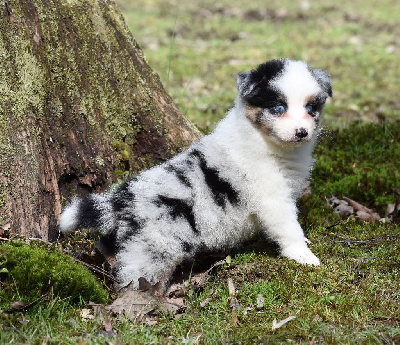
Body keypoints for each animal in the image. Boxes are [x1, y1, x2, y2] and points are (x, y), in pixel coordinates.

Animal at [59, 57, 332, 288]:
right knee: (136, 272)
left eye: (311, 107)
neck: (266, 141)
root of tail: (124, 198)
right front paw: (303, 255)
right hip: (154, 245)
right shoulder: (272, 198)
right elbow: (288, 227)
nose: (301, 132)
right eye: (277, 107)